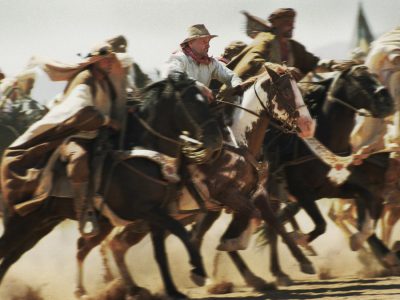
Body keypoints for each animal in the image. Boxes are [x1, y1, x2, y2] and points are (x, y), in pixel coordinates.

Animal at [0, 72, 223, 300]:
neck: (144, 153)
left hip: (42, 225)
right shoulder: (147, 211)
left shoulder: (157, 214)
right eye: (192, 102)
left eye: (207, 100)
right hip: (21, 222)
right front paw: (197, 272)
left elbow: (161, 253)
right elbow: (182, 232)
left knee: (13, 257)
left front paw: (173, 290)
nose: (216, 141)